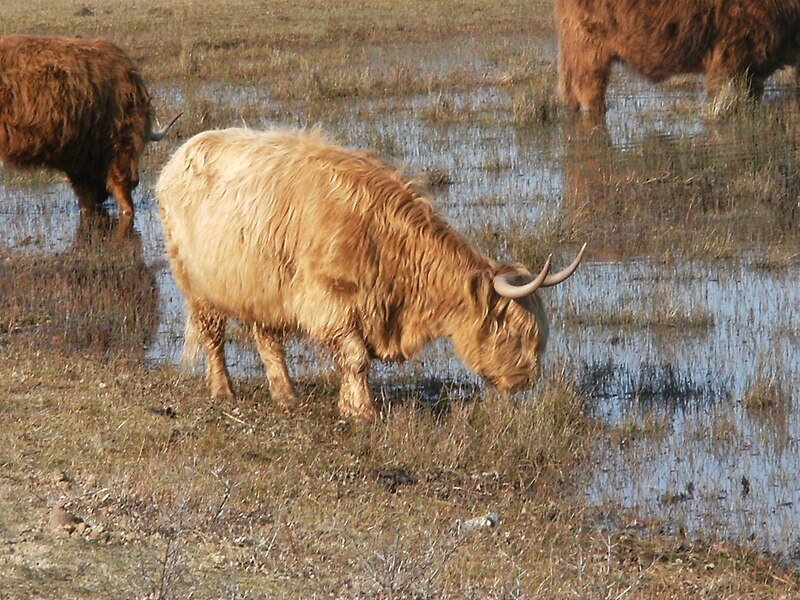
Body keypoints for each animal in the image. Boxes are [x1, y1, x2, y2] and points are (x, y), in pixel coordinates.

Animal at [155, 126, 588, 420]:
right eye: (516, 333)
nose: (527, 380)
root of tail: (182, 153)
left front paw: (351, 405)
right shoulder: (329, 304)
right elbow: (355, 358)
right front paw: (361, 411)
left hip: (264, 286)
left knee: (268, 340)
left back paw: (286, 395)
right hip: (196, 283)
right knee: (213, 336)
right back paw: (223, 391)